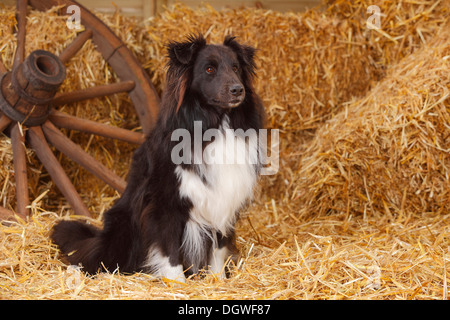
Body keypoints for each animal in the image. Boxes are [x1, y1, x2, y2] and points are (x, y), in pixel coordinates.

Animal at [51, 34, 266, 282]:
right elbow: (169, 247)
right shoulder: (164, 203)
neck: (215, 124)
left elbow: (218, 249)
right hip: (121, 229)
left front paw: (217, 281)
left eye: (236, 68)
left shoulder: (225, 199)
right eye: (210, 69)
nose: (237, 90)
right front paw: (177, 283)